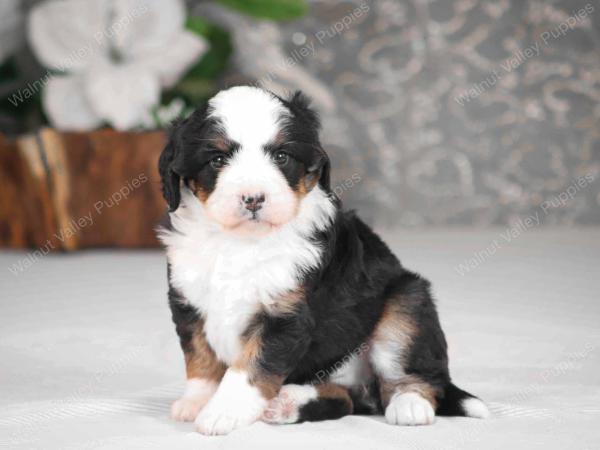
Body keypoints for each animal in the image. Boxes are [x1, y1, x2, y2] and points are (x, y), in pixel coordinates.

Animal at [157, 86, 490, 434]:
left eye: (281, 157)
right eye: (217, 159)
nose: (254, 198)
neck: (239, 242)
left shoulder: (285, 315)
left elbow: (251, 366)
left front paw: (223, 411)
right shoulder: (189, 302)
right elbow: (200, 358)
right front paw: (196, 401)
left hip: (407, 303)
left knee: (414, 374)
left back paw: (409, 405)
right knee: (345, 399)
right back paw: (287, 403)